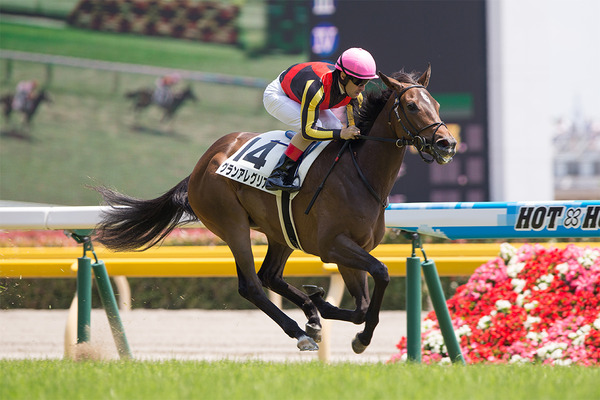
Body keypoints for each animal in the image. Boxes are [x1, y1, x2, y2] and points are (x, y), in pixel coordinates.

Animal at [97, 66, 454, 354]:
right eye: (411, 105)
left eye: (436, 104)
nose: (446, 143)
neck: (359, 173)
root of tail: (200, 165)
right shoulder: (332, 246)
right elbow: (380, 274)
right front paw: (357, 336)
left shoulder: (352, 249)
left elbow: (362, 306)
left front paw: (324, 307)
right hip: (232, 225)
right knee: (252, 285)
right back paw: (300, 332)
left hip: (279, 232)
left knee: (270, 275)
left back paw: (310, 315)